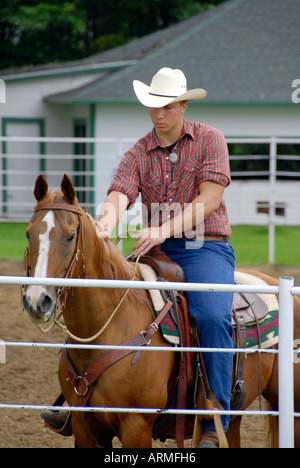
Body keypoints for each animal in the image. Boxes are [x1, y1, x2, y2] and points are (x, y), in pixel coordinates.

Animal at [22, 174, 300, 448]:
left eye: (70, 236)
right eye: (28, 234)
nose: (37, 300)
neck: (111, 327)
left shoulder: (136, 426)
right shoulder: (85, 428)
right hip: (236, 418)